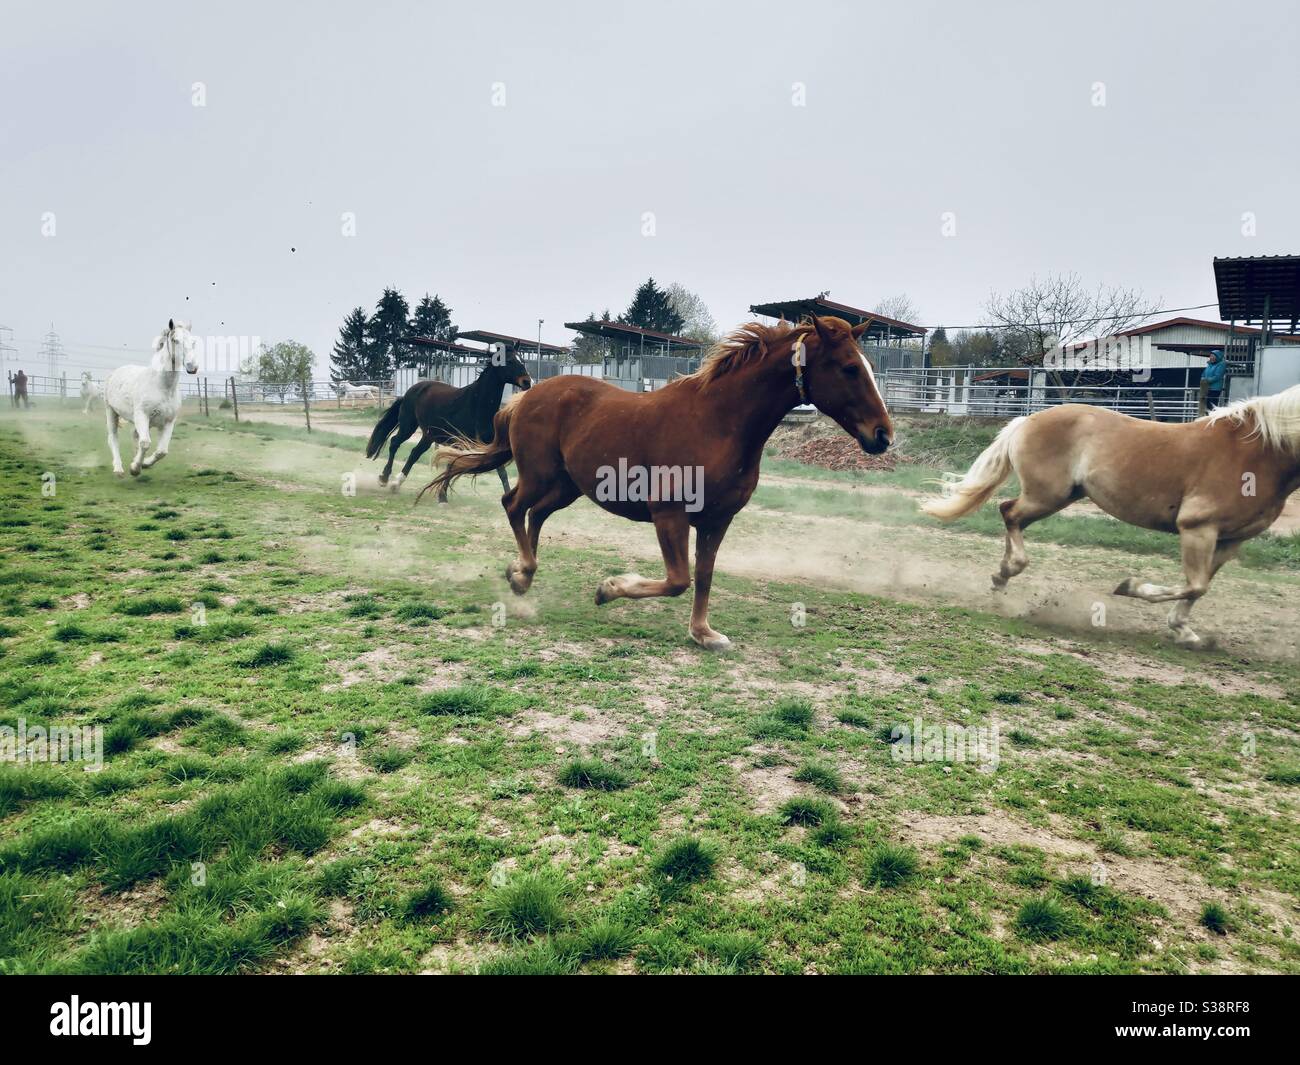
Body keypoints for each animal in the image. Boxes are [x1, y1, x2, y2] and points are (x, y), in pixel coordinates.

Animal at [104, 318, 199, 477]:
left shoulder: (168, 421)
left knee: (134, 435)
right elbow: (146, 443)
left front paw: (144, 463)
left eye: (193, 342)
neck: (162, 387)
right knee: (113, 438)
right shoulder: (142, 415)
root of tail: (116, 372)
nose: (192, 366)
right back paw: (118, 469)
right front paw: (135, 469)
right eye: (175, 340)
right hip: (111, 411)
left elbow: (162, 451)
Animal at [366, 347, 533, 495]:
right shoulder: (458, 442)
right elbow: (450, 465)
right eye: (509, 360)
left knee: (415, 453)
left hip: (429, 435)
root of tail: (411, 390)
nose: (527, 382)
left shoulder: (489, 444)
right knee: (395, 443)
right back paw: (384, 478)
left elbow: (501, 472)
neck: (476, 405)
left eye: (522, 359)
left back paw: (397, 482)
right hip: (408, 426)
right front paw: (442, 496)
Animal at [423, 315, 892, 649]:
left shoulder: (717, 520)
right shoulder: (670, 515)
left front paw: (704, 633)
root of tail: (524, 396)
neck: (718, 423)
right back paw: (521, 575)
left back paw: (522, 573)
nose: (883, 435)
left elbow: (703, 575)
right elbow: (678, 580)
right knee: (513, 505)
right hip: (540, 476)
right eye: (850, 368)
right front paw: (608, 589)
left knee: (533, 514)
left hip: (565, 487)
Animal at [921, 386, 1300, 647]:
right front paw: (1130, 587)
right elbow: (1195, 585)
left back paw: (1000, 578)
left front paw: (1185, 632)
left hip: (1059, 497)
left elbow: (1197, 589)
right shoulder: (1197, 528)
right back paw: (1008, 572)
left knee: (1011, 516)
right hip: (1047, 496)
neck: (1261, 450)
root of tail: (1027, 419)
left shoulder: (1228, 541)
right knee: (1009, 512)